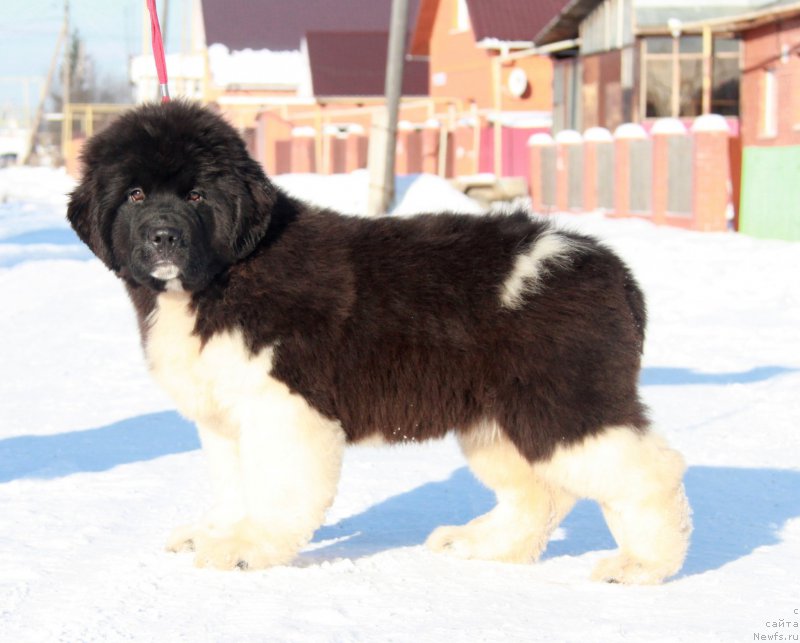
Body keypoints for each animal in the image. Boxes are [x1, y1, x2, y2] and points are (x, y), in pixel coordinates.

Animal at [69, 100, 692, 584]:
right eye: (135, 195)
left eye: (197, 197)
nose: (163, 237)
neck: (225, 277)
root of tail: (607, 266)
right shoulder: (224, 415)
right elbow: (232, 484)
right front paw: (215, 534)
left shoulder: (284, 406)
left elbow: (274, 488)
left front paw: (247, 550)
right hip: (496, 416)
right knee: (539, 490)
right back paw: (484, 544)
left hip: (564, 399)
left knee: (648, 471)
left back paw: (643, 564)